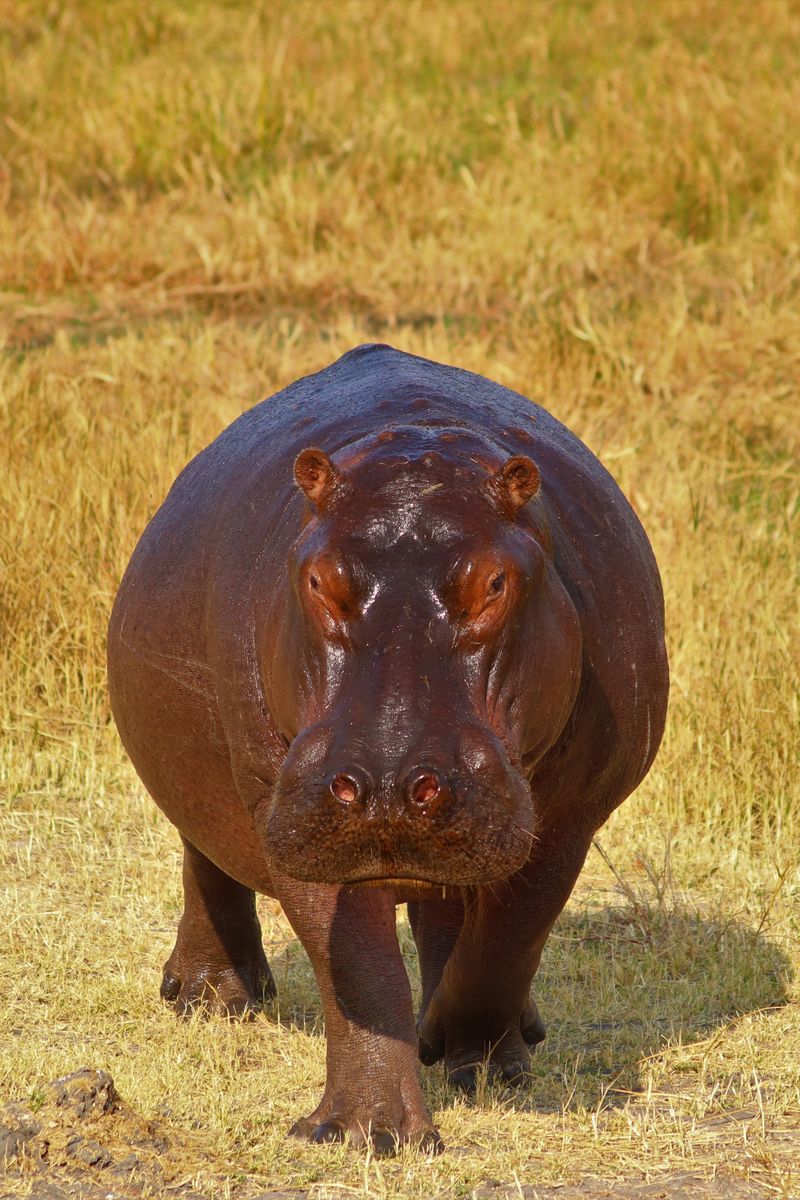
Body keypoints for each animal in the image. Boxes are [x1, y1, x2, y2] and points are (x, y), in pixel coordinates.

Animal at [107, 344, 668, 1154]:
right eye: (317, 577)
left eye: (495, 581)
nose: (389, 784)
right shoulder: (289, 798)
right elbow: (357, 966)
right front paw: (365, 1133)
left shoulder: (570, 817)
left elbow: (508, 937)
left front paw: (471, 1055)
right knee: (205, 851)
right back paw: (209, 999)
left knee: (456, 914)